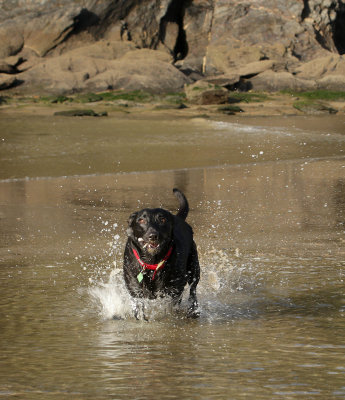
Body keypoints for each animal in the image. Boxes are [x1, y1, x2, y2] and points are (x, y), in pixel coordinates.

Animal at [123, 188, 199, 318]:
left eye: (162, 219)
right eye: (141, 220)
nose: (153, 235)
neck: (152, 262)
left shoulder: (174, 289)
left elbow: (171, 305)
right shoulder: (134, 287)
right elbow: (138, 305)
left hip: (194, 268)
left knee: (193, 289)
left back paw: (193, 310)